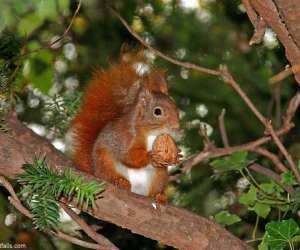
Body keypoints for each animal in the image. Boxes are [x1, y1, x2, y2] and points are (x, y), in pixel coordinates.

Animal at [72, 52, 180, 199]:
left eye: (175, 106)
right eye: (157, 111)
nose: (176, 126)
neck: (152, 134)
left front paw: (178, 153)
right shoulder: (127, 137)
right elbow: (128, 156)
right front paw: (151, 156)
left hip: (159, 176)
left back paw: (159, 196)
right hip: (104, 162)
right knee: (108, 174)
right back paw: (120, 181)